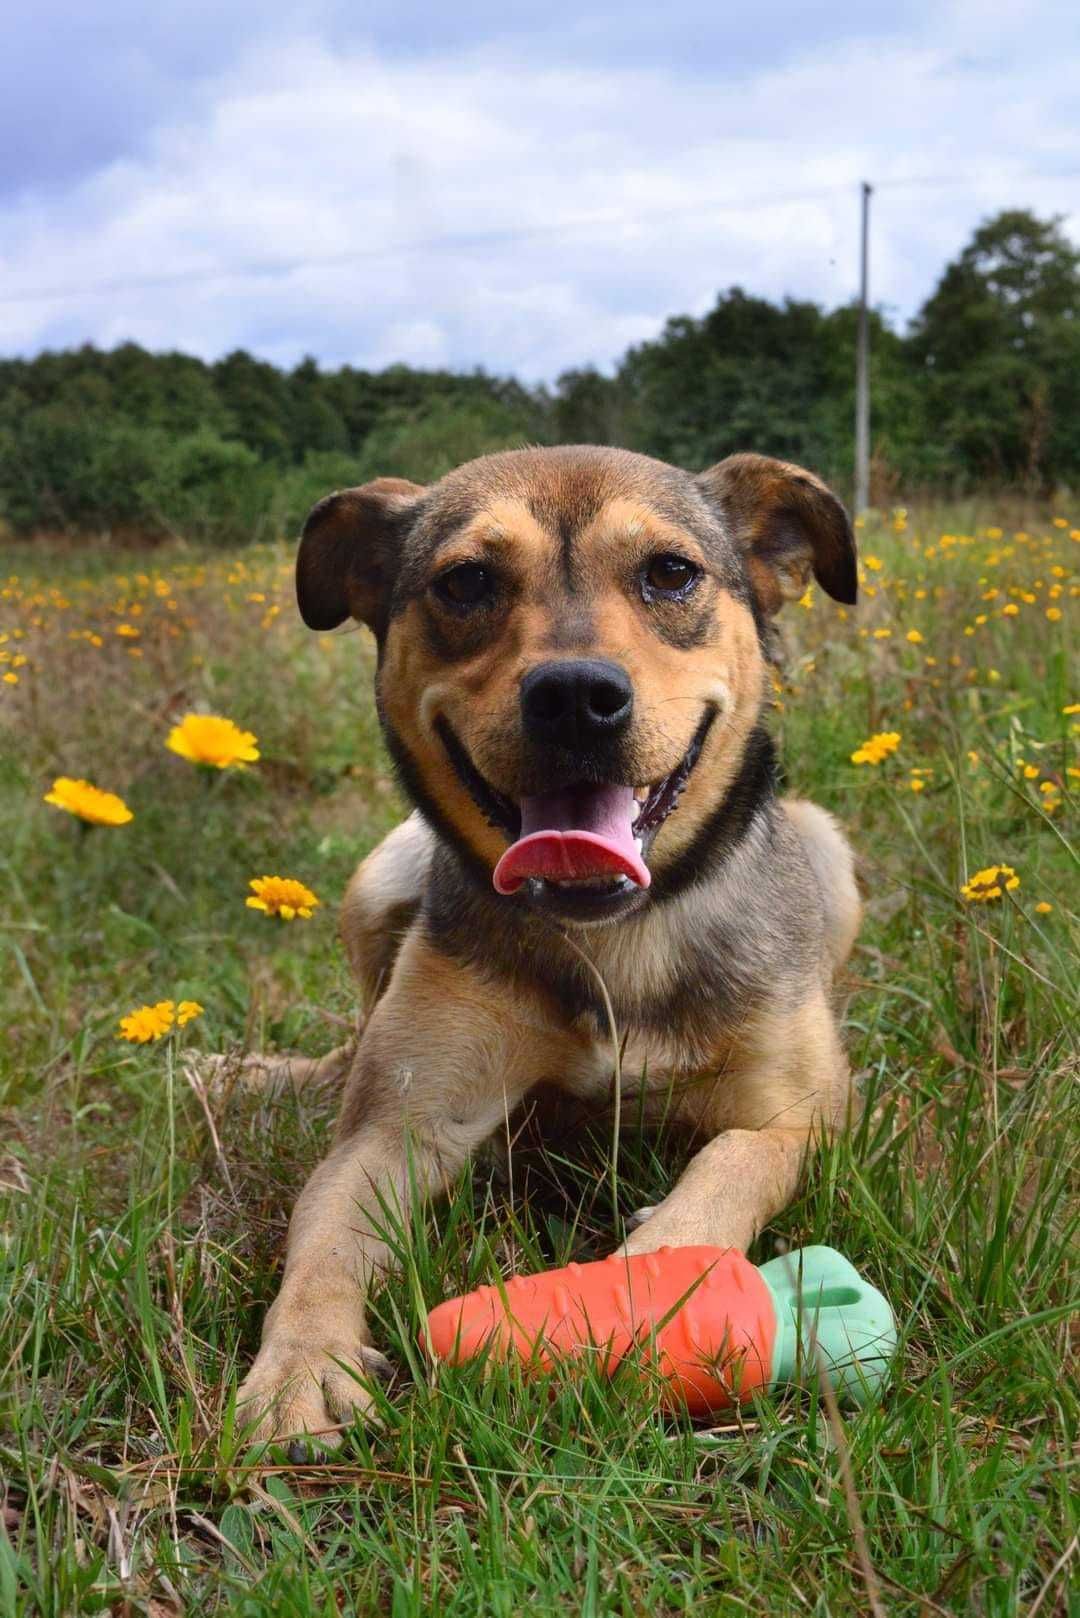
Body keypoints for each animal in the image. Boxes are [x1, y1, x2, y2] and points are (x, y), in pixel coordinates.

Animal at [234, 443, 861, 1443]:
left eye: (670, 572)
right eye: (466, 581)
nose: (574, 696)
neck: (617, 939)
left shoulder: (807, 1111)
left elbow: (732, 1163)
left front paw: (655, 1293)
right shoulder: (400, 1125)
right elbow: (323, 1231)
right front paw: (300, 1366)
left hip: (828, 850)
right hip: (377, 878)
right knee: (353, 1038)